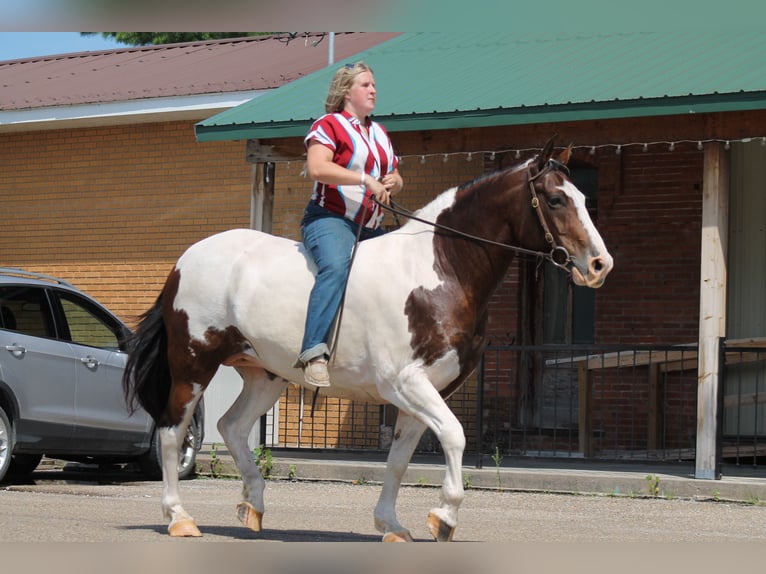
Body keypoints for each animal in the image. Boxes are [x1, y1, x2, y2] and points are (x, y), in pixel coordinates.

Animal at [123, 137, 616, 544]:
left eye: (582, 197)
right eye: (555, 199)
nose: (599, 264)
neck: (440, 270)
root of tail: (184, 261)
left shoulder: (426, 392)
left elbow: (399, 459)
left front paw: (392, 525)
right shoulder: (406, 384)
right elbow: (454, 436)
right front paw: (445, 516)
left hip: (266, 376)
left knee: (232, 427)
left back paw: (253, 506)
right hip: (193, 365)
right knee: (172, 432)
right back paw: (180, 518)